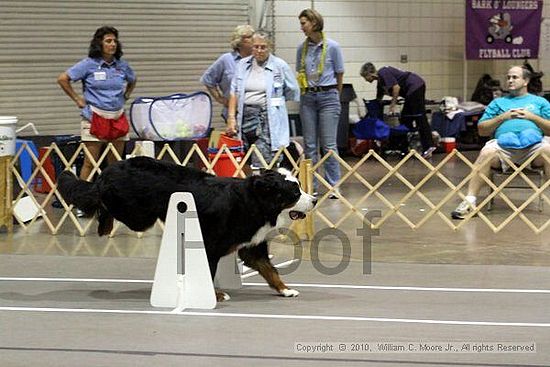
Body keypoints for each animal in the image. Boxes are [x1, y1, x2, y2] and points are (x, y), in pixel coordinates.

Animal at [58, 157, 316, 302]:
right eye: (295, 193)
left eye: (300, 188)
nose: (314, 199)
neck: (254, 202)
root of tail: (108, 171)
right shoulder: (210, 246)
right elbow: (209, 272)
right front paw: (215, 295)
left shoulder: (252, 246)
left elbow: (271, 270)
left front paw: (285, 290)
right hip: (138, 215)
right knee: (101, 202)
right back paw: (104, 226)